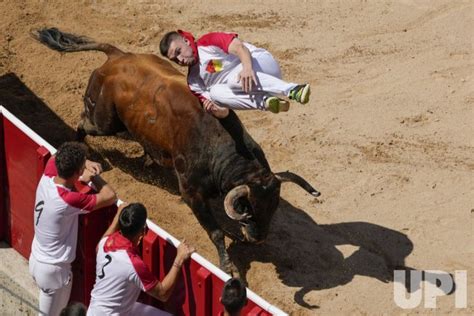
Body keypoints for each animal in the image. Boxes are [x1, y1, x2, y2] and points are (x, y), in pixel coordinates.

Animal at [35, 27, 320, 274]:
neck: (220, 149)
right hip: (105, 121)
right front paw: (228, 267)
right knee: (84, 124)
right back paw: (80, 150)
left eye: (273, 207)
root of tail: (118, 56)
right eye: (248, 208)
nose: (258, 239)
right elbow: (216, 231)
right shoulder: (192, 193)